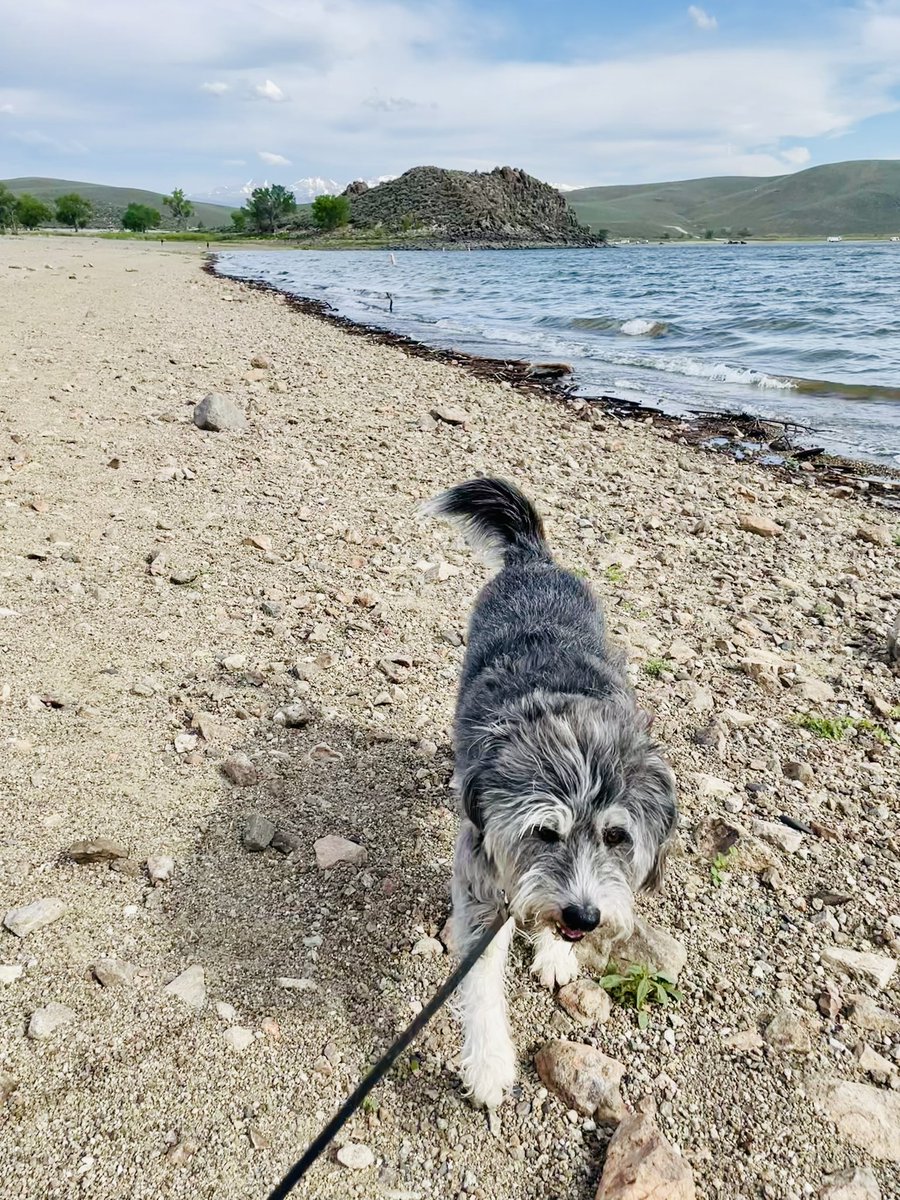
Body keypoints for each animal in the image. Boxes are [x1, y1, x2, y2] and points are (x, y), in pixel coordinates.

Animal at [427, 475, 676, 1104]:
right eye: (543, 831)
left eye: (616, 837)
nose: (584, 918)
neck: (566, 714)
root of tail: (535, 560)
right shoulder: (480, 879)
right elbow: (480, 981)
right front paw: (489, 1064)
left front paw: (558, 949)